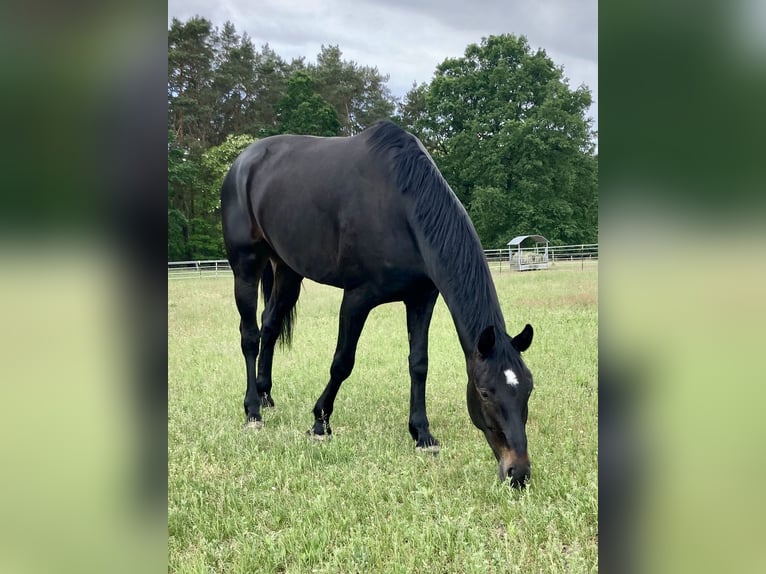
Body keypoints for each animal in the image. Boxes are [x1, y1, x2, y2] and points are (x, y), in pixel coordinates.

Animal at [219, 119, 536, 488]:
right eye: (484, 392)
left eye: (528, 389)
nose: (518, 472)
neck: (402, 206)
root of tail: (244, 161)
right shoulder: (357, 298)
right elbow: (342, 362)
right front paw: (320, 422)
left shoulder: (421, 298)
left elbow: (419, 364)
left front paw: (422, 433)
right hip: (246, 266)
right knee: (250, 336)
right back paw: (252, 411)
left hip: (287, 271)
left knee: (269, 327)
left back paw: (266, 394)